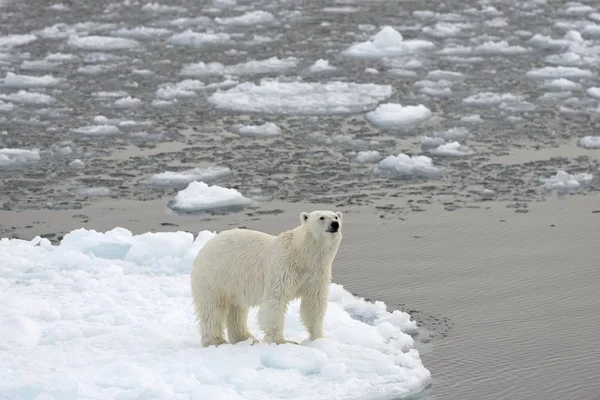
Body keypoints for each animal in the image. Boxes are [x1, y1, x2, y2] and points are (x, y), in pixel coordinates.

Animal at [190, 211, 344, 346]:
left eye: (336, 216)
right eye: (321, 217)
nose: (335, 224)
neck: (302, 254)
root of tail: (203, 248)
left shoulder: (317, 274)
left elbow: (314, 303)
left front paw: (318, 338)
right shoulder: (282, 268)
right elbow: (275, 301)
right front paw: (281, 341)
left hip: (234, 283)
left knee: (237, 310)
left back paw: (245, 337)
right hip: (214, 277)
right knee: (212, 309)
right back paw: (216, 341)